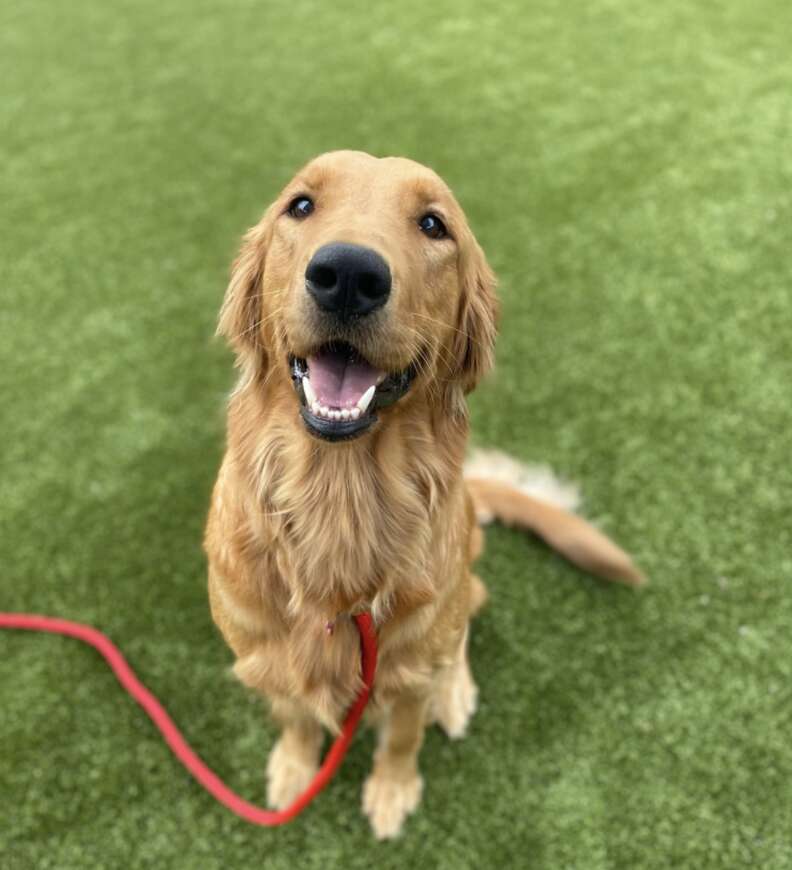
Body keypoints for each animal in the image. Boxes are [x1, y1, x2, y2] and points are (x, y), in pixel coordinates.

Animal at [206, 150, 644, 836]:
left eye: (434, 225)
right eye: (300, 205)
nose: (348, 275)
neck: (340, 503)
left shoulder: (407, 670)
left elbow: (402, 736)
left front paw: (392, 790)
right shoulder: (264, 657)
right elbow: (296, 715)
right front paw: (295, 768)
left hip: (460, 583)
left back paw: (455, 692)